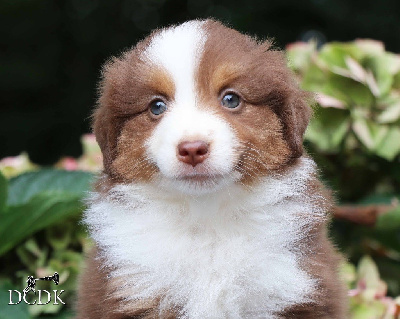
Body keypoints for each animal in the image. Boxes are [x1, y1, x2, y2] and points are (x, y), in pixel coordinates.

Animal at [76, 20, 346, 319]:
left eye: (231, 99)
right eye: (157, 106)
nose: (193, 148)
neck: (206, 219)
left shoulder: (295, 285)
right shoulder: (131, 288)